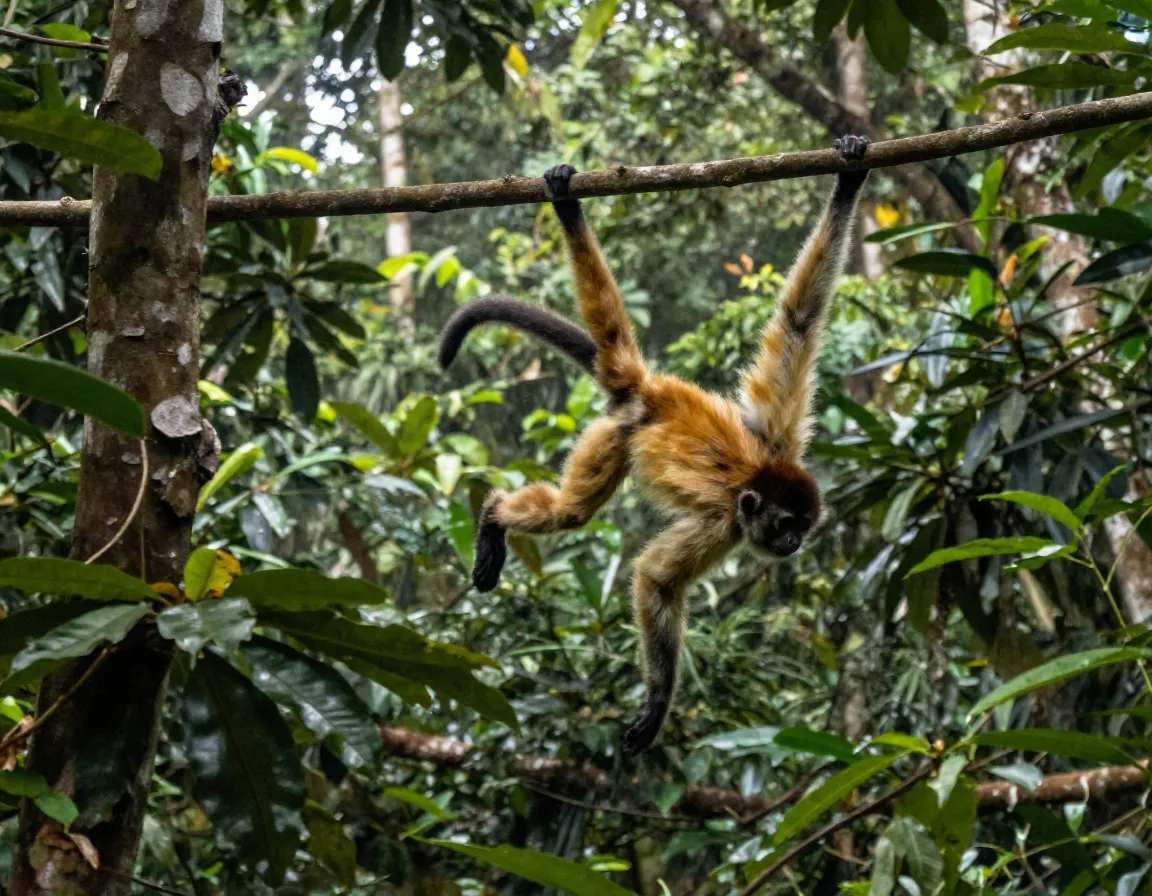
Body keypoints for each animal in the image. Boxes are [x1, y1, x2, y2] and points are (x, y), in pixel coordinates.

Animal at [438, 135, 871, 754]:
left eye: (802, 528)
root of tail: (644, 392)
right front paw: (658, 703)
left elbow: (799, 318)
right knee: (571, 512)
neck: (752, 480)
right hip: (611, 439)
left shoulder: (777, 440)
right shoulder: (726, 523)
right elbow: (657, 581)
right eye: (785, 526)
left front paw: (850, 174)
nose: (791, 545)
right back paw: (494, 514)